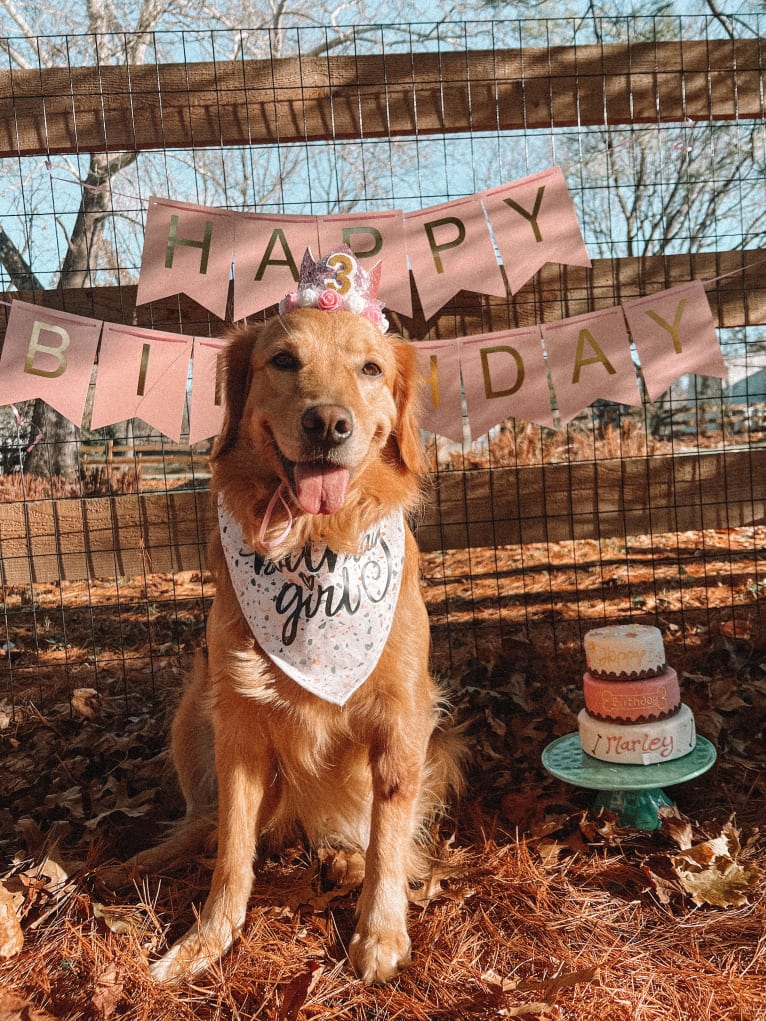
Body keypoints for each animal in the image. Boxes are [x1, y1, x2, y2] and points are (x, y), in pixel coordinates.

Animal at [110, 300, 461, 980]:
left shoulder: (403, 715)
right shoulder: (240, 720)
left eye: (371, 368)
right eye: (283, 360)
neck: (315, 541)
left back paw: (346, 859)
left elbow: (389, 833)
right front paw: (206, 938)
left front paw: (381, 931)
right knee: (205, 820)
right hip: (197, 704)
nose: (327, 423)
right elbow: (233, 848)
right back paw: (141, 860)